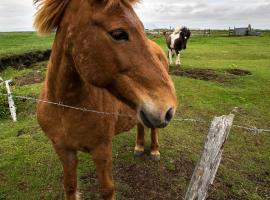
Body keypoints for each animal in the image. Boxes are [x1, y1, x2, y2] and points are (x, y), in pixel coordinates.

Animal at [33, 0, 177, 200]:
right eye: (119, 34)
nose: (169, 108)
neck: (65, 107)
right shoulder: (63, 150)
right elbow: (70, 186)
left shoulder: (102, 150)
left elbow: (107, 189)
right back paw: (139, 147)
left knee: (154, 129)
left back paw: (155, 150)